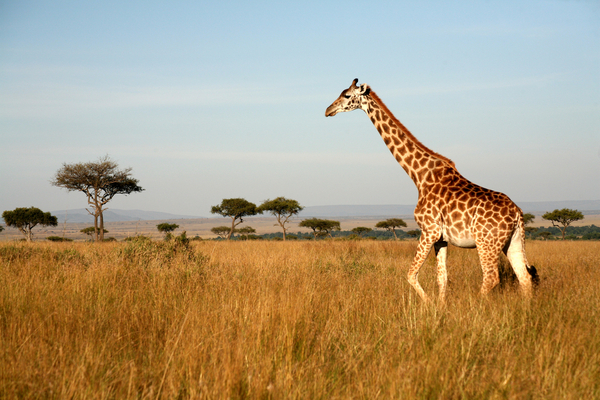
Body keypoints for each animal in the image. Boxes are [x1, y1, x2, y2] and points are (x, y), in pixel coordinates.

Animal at [326, 79, 536, 304]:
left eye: (347, 95)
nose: (328, 110)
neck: (419, 176)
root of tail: (517, 214)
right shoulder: (441, 238)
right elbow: (442, 278)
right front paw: (440, 307)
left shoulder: (429, 231)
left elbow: (411, 274)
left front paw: (427, 303)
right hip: (512, 242)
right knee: (524, 277)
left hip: (486, 242)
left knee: (491, 277)